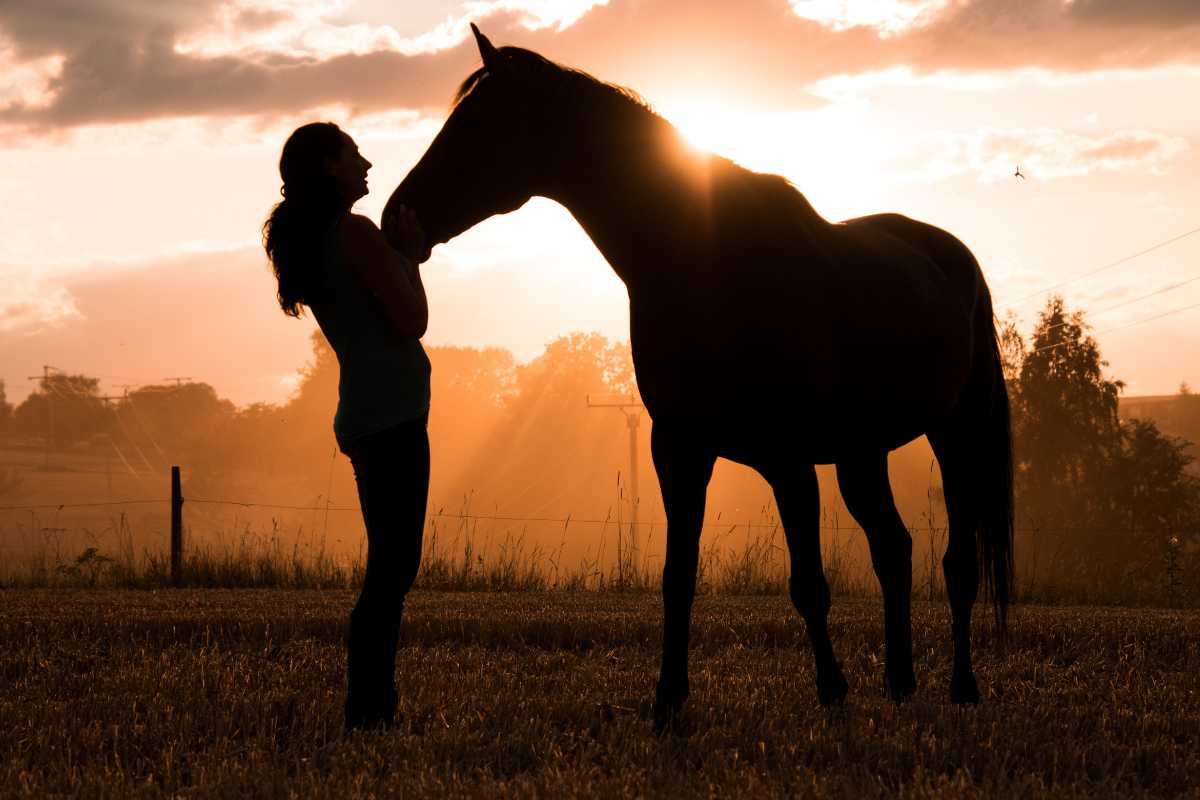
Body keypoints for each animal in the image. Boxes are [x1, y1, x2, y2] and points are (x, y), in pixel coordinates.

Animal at [385, 25, 1014, 731]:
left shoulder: (787, 459)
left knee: (957, 563)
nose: (395, 215)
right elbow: (677, 577)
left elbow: (809, 583)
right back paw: (900, 682)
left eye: (478, 125)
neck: (705, 262)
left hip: (956, 435)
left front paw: (831, 690)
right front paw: (668, 699)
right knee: (894, 549)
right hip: (862, 453)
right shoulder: (678, 449)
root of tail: (950, 255)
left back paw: (961, 686)